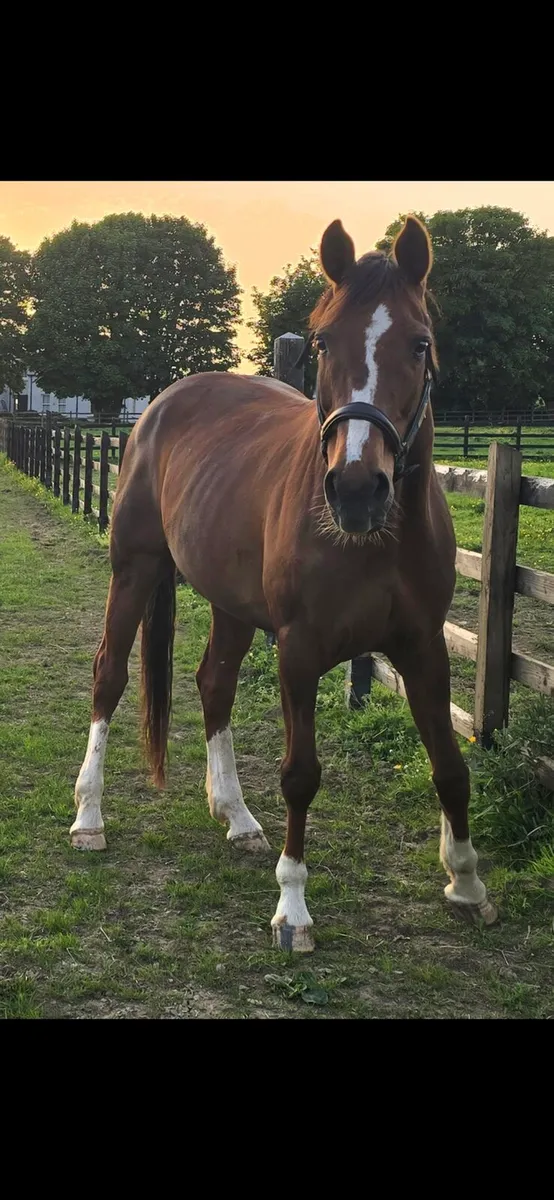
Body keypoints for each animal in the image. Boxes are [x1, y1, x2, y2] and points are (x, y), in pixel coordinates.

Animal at [71, 215, 497, 953]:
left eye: (420, 344)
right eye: (323, 342)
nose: (356, 489)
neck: (374, 541)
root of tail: (160, 405)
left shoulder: (424, 649)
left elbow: (450, 764)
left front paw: (466, 885)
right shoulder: (298, 651)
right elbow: (301, 775)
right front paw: (292, 908)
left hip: (232, 605)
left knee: (213, 682)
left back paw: (237, 816)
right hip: (135, 570)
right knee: (110, 676)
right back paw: (90, 818)